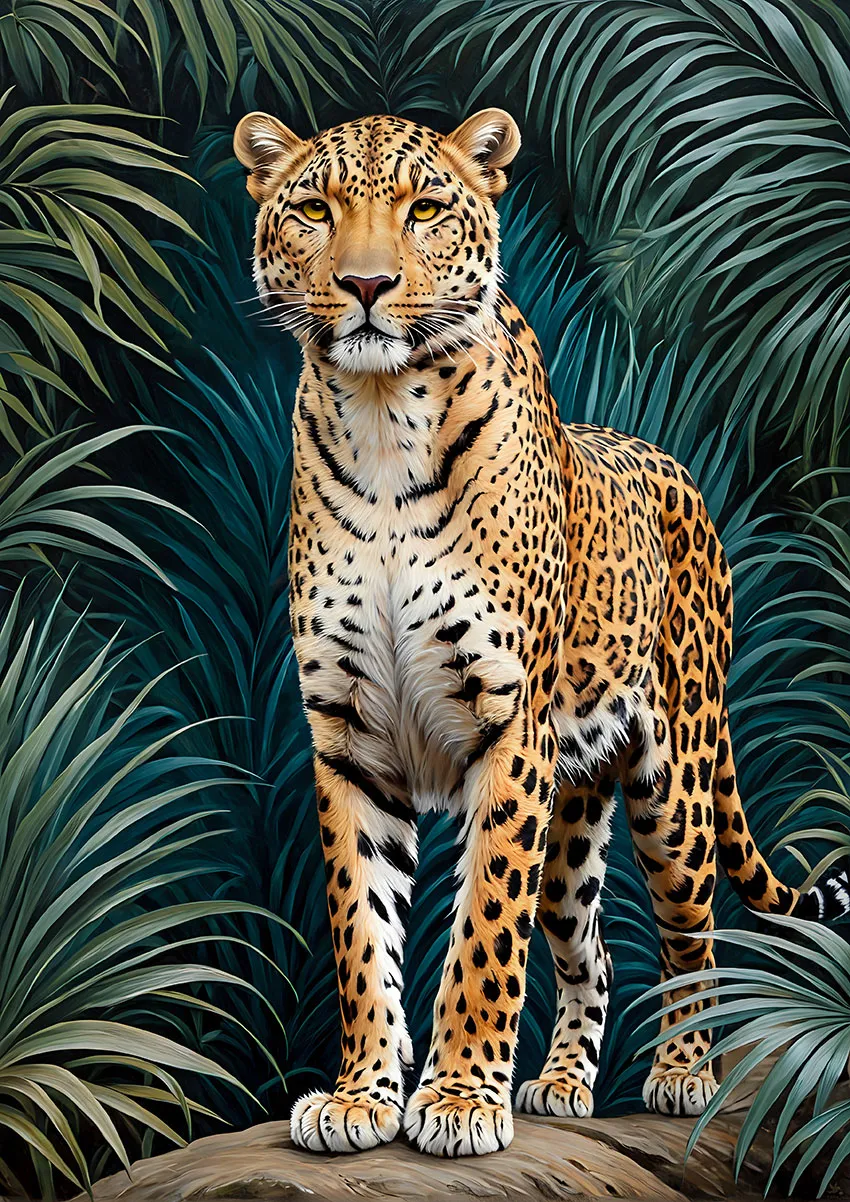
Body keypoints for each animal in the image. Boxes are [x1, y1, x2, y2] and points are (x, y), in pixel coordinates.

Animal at [233, 107, 850, 1157]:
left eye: (425, 208)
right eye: (315, 209)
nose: (366, 286)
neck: (381, 416)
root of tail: (674, 467)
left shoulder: (507, 723)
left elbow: (485, 923)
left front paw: (455, 1102)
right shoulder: (347, 734)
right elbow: (362, 931)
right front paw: (361, 1097)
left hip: (676, 784)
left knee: (691, 932)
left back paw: (684, 1075)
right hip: (575, 809)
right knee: (591, 949)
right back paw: (563, 1084)